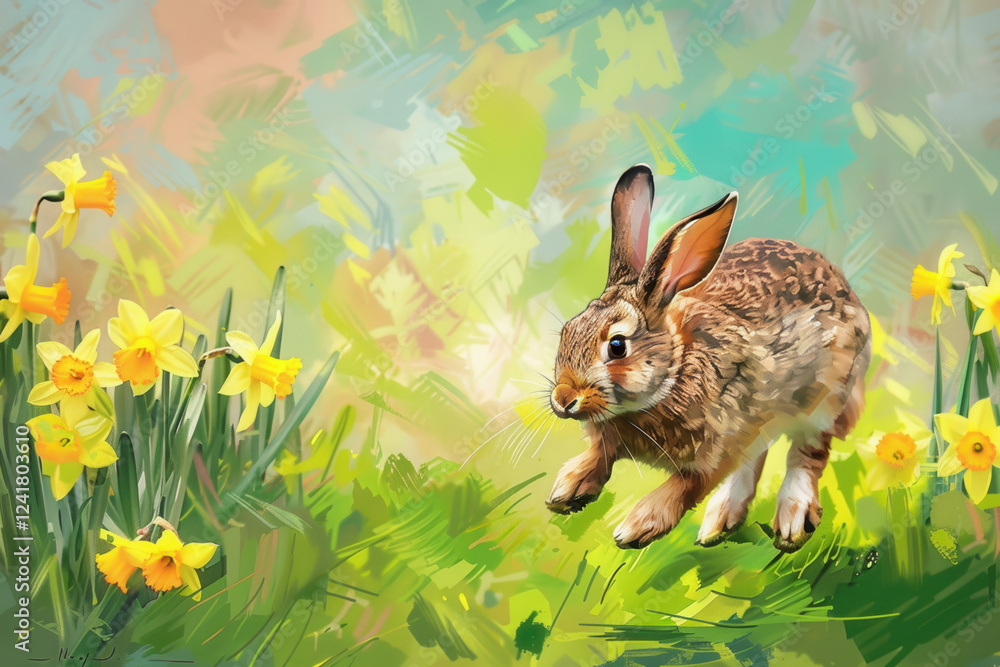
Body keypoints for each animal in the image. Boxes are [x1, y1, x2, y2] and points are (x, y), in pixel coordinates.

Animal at [544, 164, 871, 552]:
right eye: (567, 330)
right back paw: (721, 520)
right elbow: (599, 455)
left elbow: (688, 485)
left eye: (617, 346)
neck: (676, 368)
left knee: (806, 454)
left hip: (823, 398)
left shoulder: (721, 441)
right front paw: (568, 487)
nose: (563, 400)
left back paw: (788, 519)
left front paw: (638, 525)